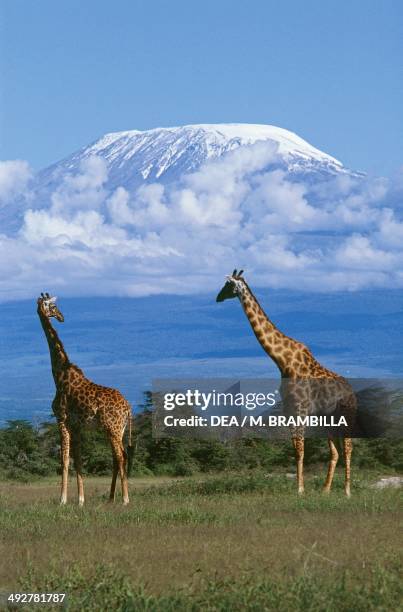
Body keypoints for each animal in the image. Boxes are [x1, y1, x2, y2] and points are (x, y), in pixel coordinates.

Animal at [37, 294, 133, 504]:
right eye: (53, 306)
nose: (61, 317)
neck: (59, 375)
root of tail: (129, 407)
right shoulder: (76, 425)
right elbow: (78, 460)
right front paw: (81, 500)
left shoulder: (62, 419)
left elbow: (65, 459)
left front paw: (62, 500)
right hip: (117, 430)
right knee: (117, 457)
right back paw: (111, 498)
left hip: (112, 427)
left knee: (121, 456)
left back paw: (125, 499)